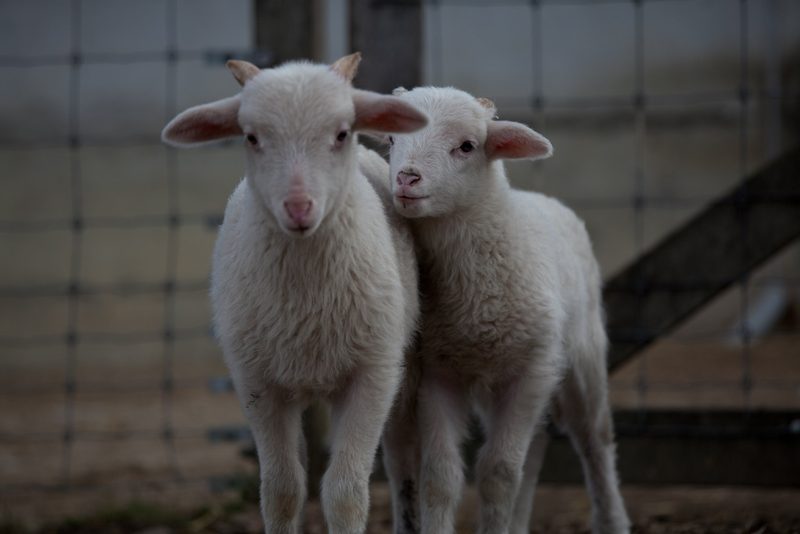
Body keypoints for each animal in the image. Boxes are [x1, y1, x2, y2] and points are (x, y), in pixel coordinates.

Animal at [161, 53, 427, 534]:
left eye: (341, 133)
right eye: (251, 137)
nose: (299, 208)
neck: (307, 299)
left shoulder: (373, 375)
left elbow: (345, 494)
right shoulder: (257, 382)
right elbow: (282, 491)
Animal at [384, 86, 631, 534]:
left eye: (467, 146)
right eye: (392, 140)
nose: (407, 178)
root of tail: (541, 198)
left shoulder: (530, 371)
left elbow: (497, 474)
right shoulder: (439, 374)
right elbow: (442, 477)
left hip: (581, 360)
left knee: (595, 441)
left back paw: (612, 518)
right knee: (533, 452)